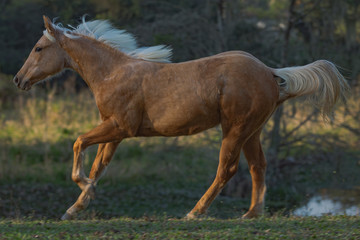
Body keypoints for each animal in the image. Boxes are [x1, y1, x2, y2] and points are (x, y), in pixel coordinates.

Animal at [14, 15, 348, 220]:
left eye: (38, 48)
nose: (19, 80)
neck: (113, 73)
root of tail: (271, 72)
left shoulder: (120, 127)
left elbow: (78, 143)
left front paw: (80, 186)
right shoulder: (115, 132)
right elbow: (98, 166)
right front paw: (75, 207)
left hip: (235, 129)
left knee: (226, 170)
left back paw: (194, 212)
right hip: (253, 131)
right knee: (258, 167)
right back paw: (251, 214)